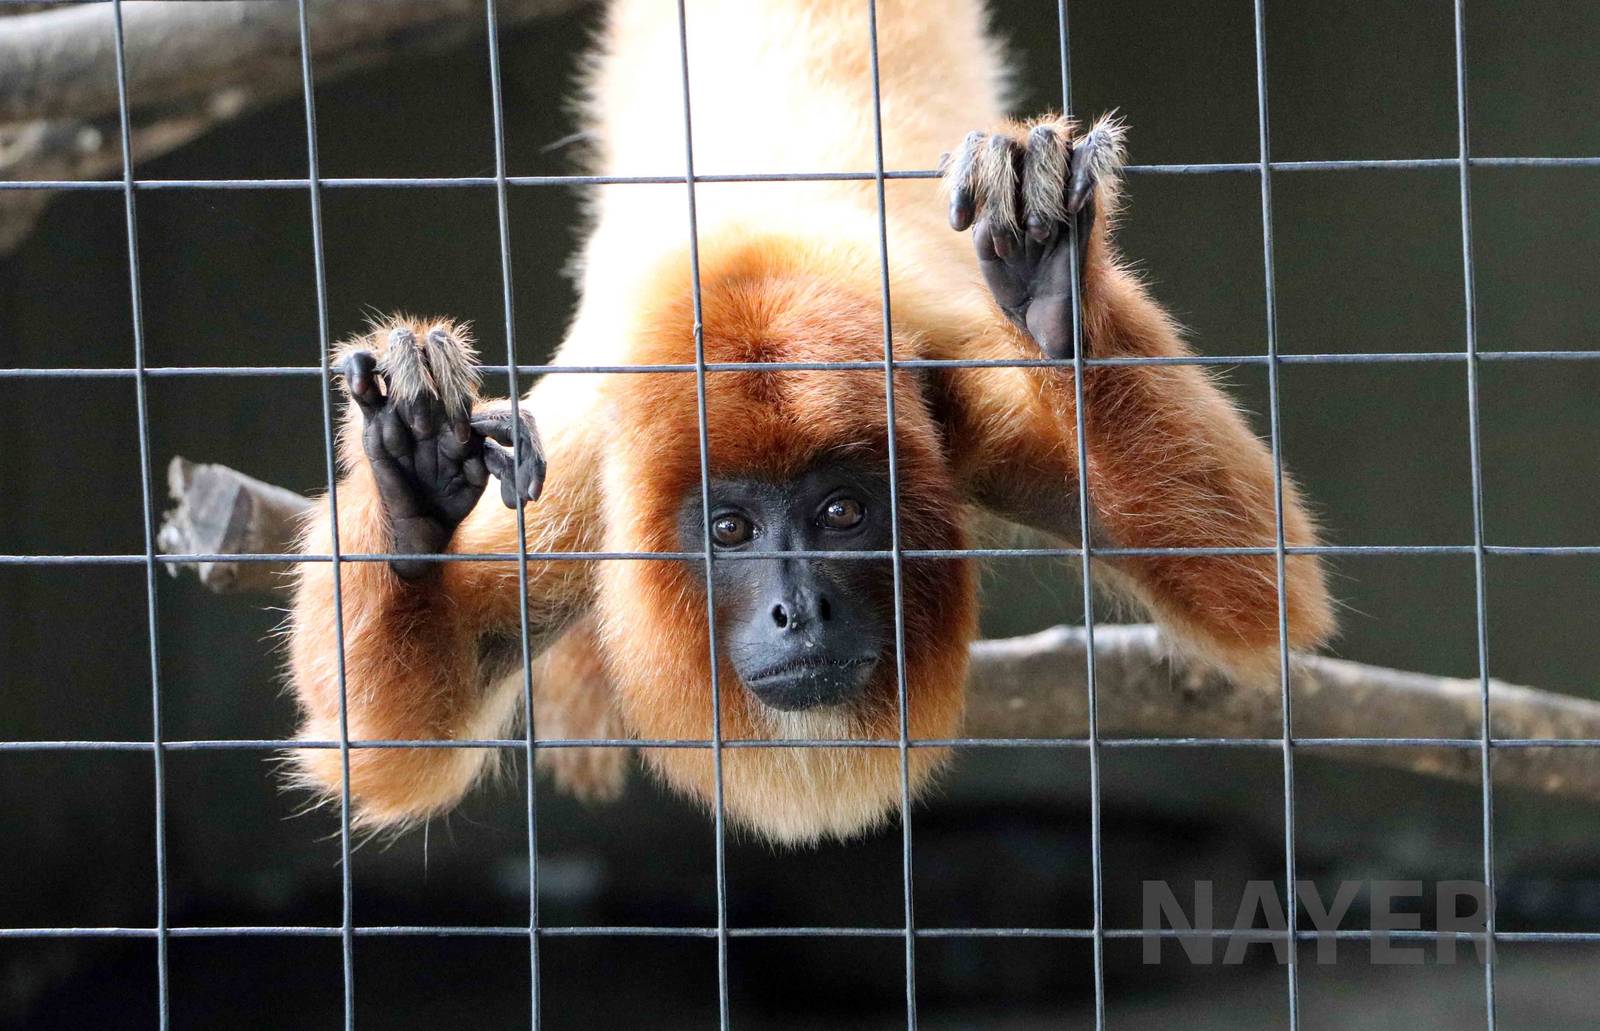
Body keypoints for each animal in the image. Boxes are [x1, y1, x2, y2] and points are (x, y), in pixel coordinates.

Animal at [285, 0, 1333, 844]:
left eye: (841, 514)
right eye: (730, 529)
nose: (801, 609)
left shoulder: (948, 378)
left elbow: (1258, 580)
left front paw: (1056, 298)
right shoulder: (582, 478)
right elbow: (380, 749)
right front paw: (415, 486)